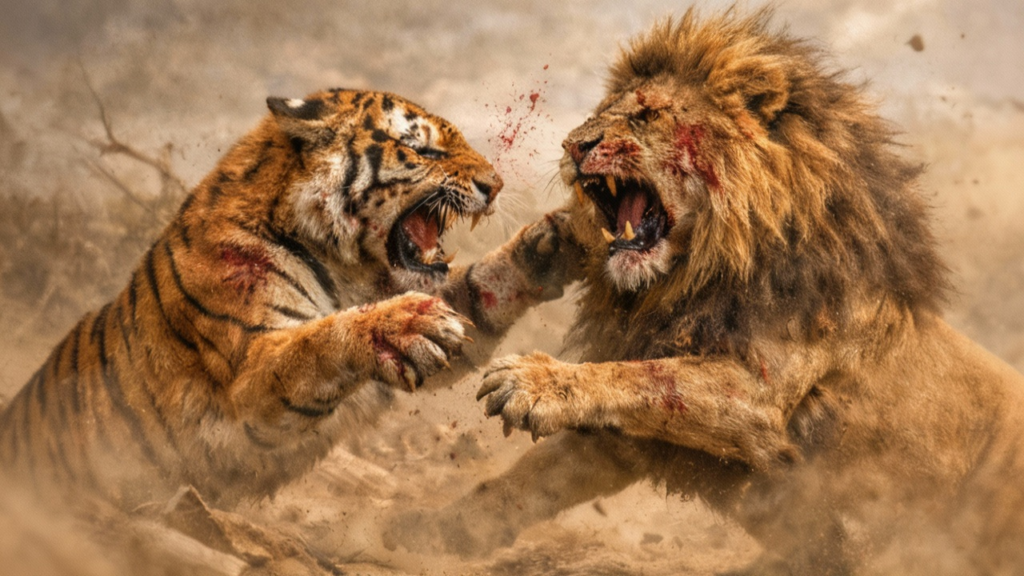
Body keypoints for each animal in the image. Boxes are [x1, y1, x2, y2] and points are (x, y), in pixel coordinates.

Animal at [0, 88, 583, 510]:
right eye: (421, 147)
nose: (496, 184)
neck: (350, 268)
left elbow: (479, 290)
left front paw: (552, 244)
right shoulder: (249, 384)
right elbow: (317, 343)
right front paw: (400, 326)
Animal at [385, 9, 1024, 574]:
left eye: (647, 117)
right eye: (601, 113)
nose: (572, 146)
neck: (690, 279)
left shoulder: (759, 394)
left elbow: (653, 377)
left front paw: (533, 382)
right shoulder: (617, 439)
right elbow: (516, 489)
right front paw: (423, 534)